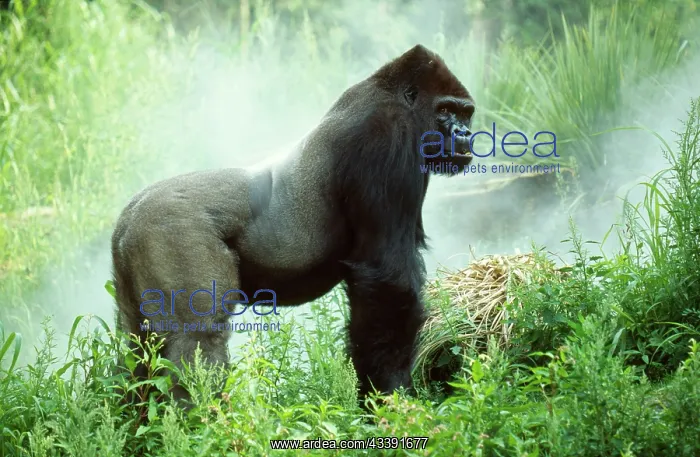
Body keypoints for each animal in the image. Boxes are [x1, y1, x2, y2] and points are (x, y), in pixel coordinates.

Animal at [111, 44, 475, 405]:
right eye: (446, 110)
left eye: (466, 113)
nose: (465, 134)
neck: (394, 97)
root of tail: (128, 217)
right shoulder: (390, 138)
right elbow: (388, 278)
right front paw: (390, 397)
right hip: (171, 230)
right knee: (197, 339)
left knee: (138, 347)